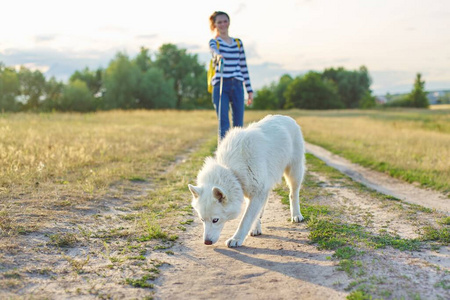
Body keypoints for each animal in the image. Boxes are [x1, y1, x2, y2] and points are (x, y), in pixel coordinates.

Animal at [186, 115, 306, 248]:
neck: (231, 169)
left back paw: (296, 215)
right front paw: (254, 228)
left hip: (294, 173)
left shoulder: (257, 194)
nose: (206, 242)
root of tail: (286, 117)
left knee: (293, 194)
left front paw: (236, 239)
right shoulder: (255, 192)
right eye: (202, 220)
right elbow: (253, 215)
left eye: (215, 220)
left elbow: (245, 220)